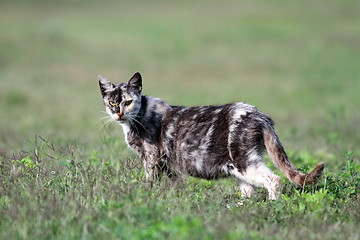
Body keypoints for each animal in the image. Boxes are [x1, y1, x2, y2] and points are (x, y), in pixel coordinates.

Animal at [97, 72, 324, 200]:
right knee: (249, 192)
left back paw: (272, 207)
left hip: (244, 163)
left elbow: (150, 182)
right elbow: (173, 185)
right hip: (237, 168)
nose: (118, 113)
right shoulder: (168, 164)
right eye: (112, 102)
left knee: (274, 180)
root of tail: (258, 114)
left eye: (127, 102)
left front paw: (148, 198)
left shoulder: (151, 158)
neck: (139, 115)